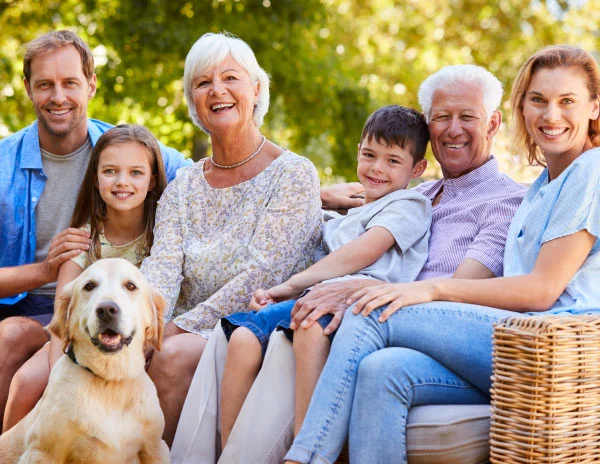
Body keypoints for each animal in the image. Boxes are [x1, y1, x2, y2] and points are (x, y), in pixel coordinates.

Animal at [0, 260, 169, 462]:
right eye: (89, 286)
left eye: (130, 286)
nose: (107, 310)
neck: (109, 381)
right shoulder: (43, 452)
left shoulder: (156, 447)